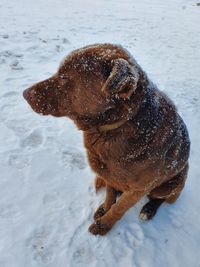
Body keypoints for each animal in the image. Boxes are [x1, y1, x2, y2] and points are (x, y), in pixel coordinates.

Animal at [22, 44, 190, 237]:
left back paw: (149, 210)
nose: (24, 94)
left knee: (161, 199)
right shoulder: (108, 172)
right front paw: (104, 208)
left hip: (173, 183)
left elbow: (119, 208)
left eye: (64, 77)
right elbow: (110, 195)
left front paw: (103, 225)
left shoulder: (139, 189)